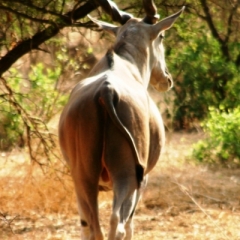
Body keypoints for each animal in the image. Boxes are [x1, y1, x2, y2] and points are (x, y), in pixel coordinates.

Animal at [59, 0, 185, 239]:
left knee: (91, 224)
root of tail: (105, 91)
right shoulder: (142, 179)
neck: (122, 65)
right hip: (127, 176)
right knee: (117, 223)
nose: (167, 78)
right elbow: (129, 224)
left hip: (83, 178)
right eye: (162, 36)